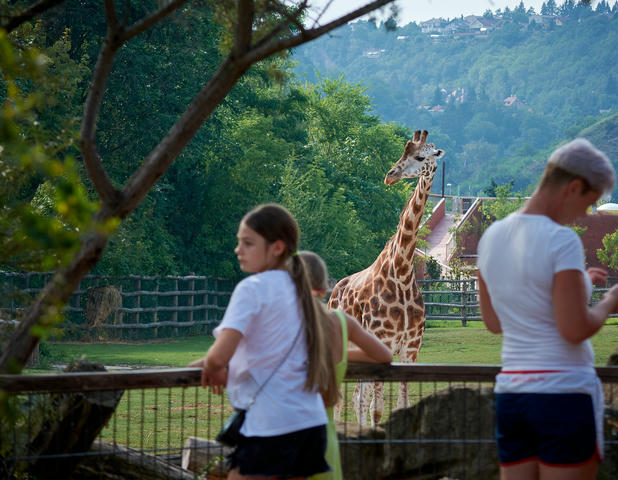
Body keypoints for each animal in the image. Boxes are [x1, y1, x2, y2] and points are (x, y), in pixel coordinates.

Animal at [328, 130, 444, 426]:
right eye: (402, 152)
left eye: (420, 157)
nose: (390, 175)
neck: (402, 273)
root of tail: (334, 291)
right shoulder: (382, 343)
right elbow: (378, 408)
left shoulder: (411, 348)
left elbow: (399, 404)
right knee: (344, 397)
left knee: (358, 397)